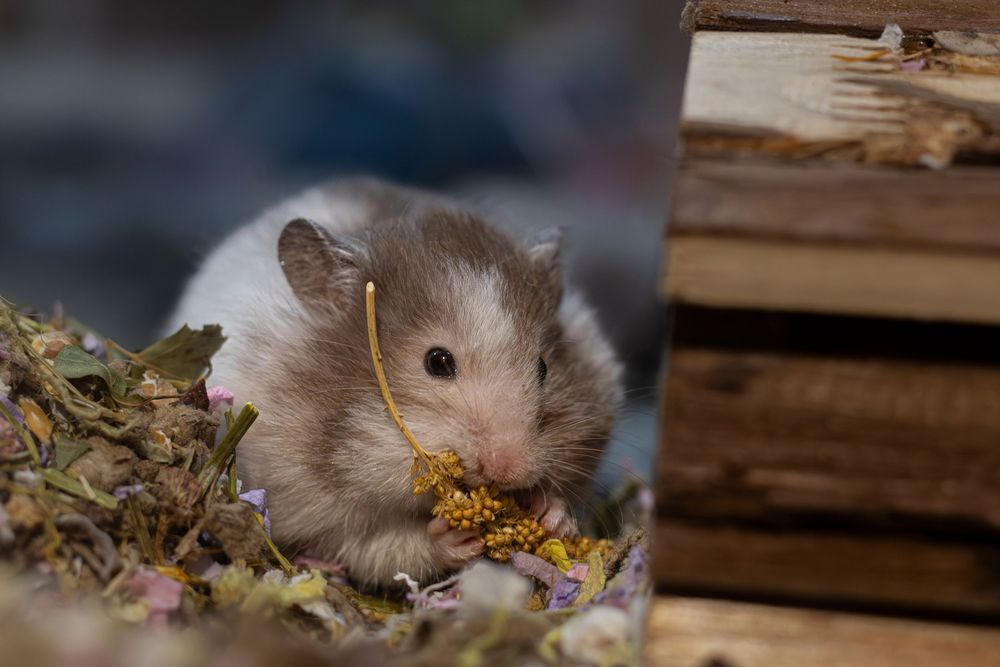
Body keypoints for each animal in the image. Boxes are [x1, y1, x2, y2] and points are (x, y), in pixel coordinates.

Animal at [167, 179, 624, 590]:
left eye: (544, 367)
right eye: (437, 361)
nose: (508, 470)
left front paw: (552, 514)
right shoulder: (315, 513)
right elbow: (382, 549)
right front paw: (454, 537)